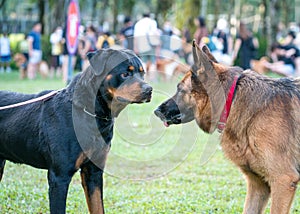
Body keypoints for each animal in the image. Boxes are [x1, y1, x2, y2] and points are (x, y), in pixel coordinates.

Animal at [0, 49, 151, 214]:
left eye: (142, 73)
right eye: (125, 74)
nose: (149, 89)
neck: (92, 114)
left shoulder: (93, 171)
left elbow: (98, 207)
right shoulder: (59, 176)